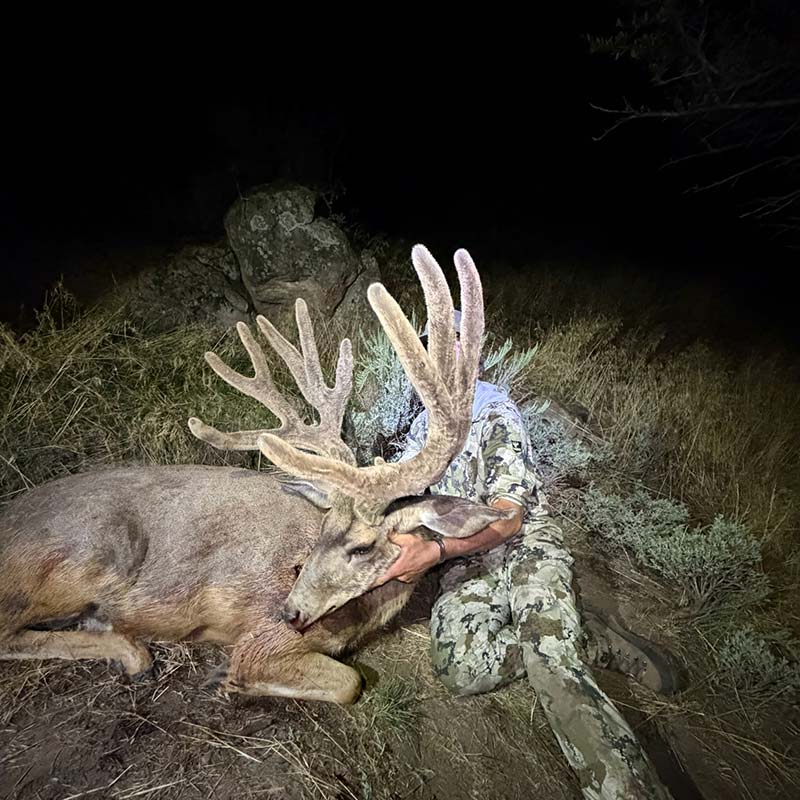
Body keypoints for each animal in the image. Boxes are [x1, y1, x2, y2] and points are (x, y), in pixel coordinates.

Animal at [0, 245, 514, 703]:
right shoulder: (261, 634)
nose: (292, 611)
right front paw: (224, 678)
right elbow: (348, 682)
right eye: (322, 531)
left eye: (362, 546)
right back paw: (131, 652)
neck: (365, 613)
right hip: (89, 555)